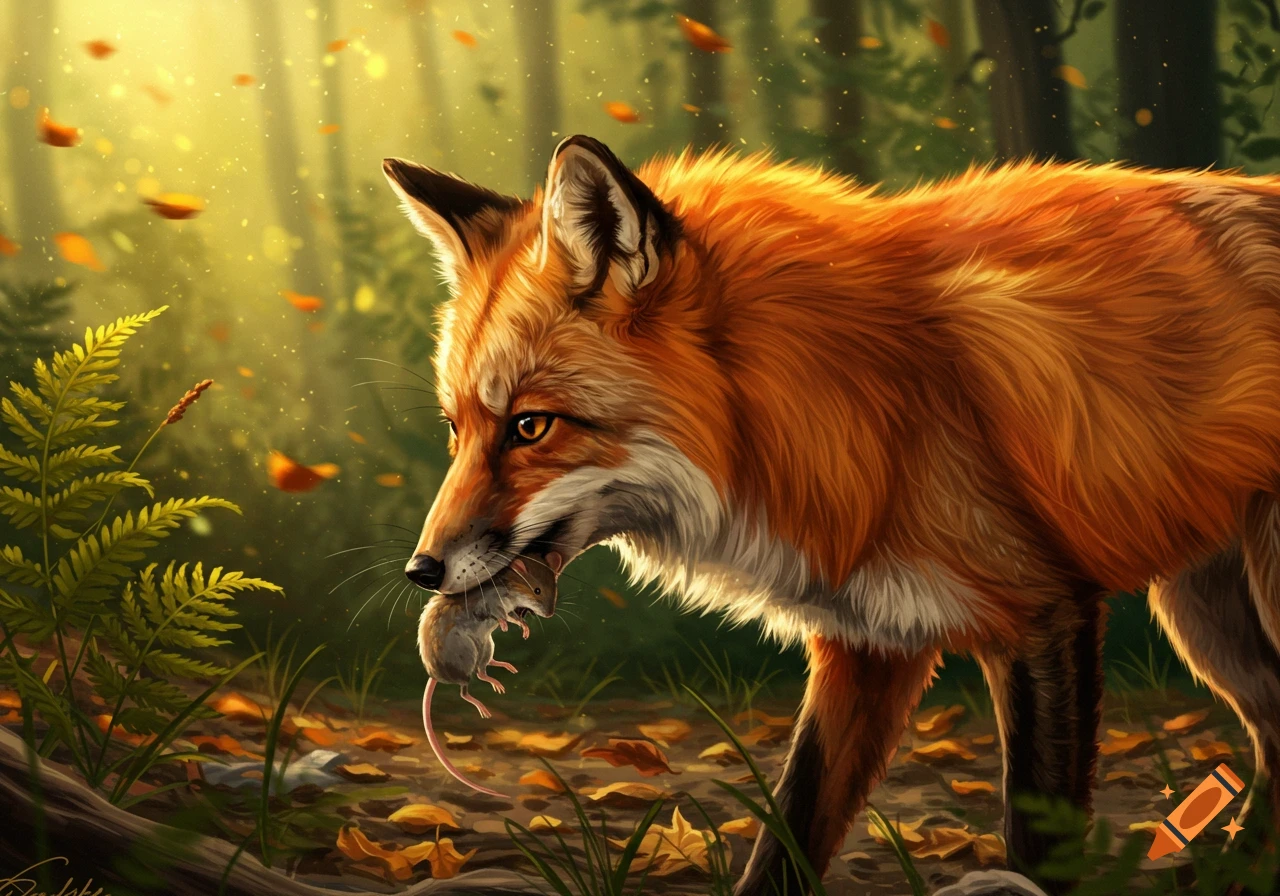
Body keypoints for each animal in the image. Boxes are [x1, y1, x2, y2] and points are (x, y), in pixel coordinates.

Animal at [383, 135, 1280, 895]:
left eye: (531, 426)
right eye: (456, 430)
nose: (420, 570)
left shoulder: (1043, 612)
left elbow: (1040, 839)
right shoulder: (869, 639)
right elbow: (790, 833)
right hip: (1207, 619)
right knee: (1274, 729)